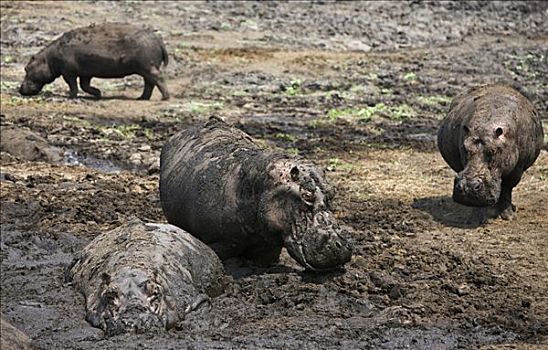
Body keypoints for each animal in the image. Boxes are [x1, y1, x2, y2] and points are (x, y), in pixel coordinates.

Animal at [19, 22, 169, 100]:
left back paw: (164, 97)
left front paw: (70, 97)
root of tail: (158, 39)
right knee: (149, 83)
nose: (20, 89)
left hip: (148, 66)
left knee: (158, 78)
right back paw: (142, 98)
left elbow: (73, 85)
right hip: (145, 68)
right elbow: (85, 85)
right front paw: (98, 94)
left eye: (27, 68)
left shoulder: (68, 72)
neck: (48, 58)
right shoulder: (86, 73)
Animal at [161, 117, 354, 270]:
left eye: (332, 192)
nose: (341, 245)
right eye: (306, 195)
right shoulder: (221, 240)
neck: (260, 184)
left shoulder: (268, 243)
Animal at [436, 83, 544, 223]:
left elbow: (507, 188)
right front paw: (475, 220)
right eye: (464, 148)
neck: (485, 126)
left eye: (493, 151)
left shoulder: (517, 168)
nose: (468, 187)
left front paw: (508, 217)